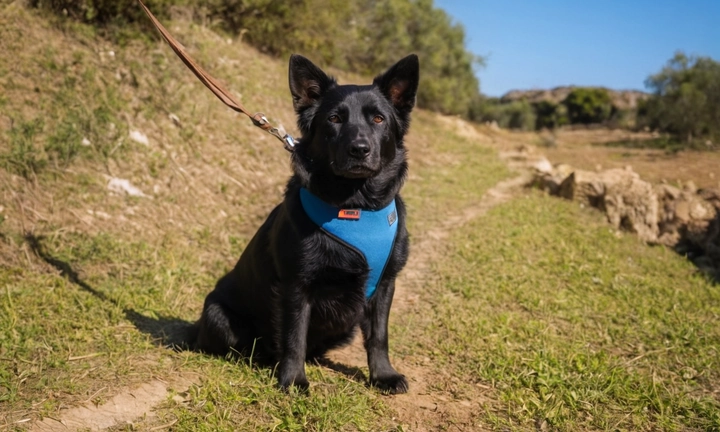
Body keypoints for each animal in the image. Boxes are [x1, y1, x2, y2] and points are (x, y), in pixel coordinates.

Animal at [188, 52, 420, 394]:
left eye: (379, 119)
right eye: (334, 119)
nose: (359, 149)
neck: (354, 207)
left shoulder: (385, 285)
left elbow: (379, 336)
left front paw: (383, 375)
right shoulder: (296, 285)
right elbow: (294, 336)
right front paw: (293, 379)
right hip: (220, 317)